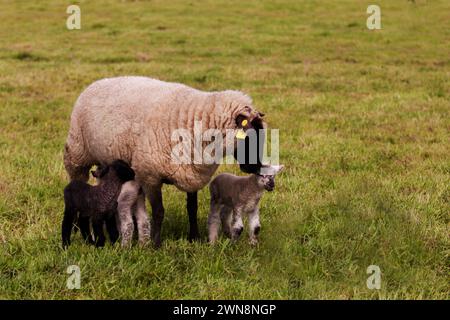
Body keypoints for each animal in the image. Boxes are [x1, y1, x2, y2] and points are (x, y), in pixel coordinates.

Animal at [64, 76, 268, 246]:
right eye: (248, 137)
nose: (255, 167)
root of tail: (99, 81)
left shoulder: (192, 172)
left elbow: (192, 208)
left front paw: (194, 238)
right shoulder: (150, 176)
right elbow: (158, 211)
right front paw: (155, 243)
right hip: (77, 153)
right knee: (77, 182)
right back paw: (75, 229)